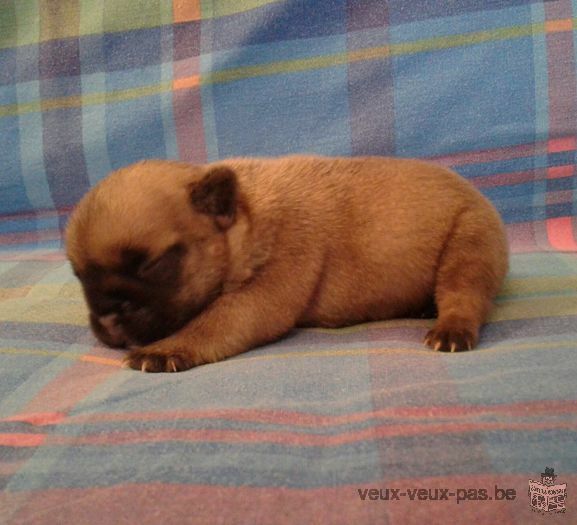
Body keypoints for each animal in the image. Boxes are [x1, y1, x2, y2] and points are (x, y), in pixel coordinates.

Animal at [67, 156, 506, 372]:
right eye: (78, 276)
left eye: (153, 265)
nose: (107, 316)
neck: (245, 216)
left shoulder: (261, 293)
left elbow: (212, 323)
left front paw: (165, 350)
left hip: (470, 243)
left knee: (463, 294)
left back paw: (449, 328)